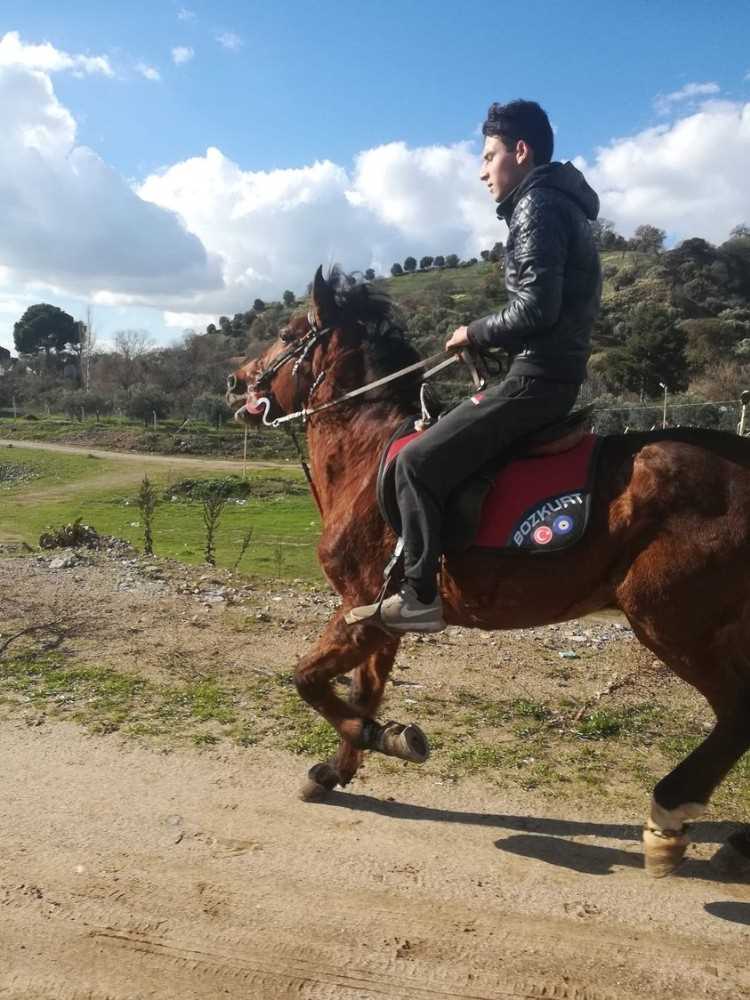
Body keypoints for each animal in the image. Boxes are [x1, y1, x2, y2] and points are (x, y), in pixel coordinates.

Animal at [229, 266, 750, 876]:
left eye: (287, 335)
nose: (236, 383)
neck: (367, 455)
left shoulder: (360, 608)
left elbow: (310, 680)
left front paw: (383, 737)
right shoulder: (381, 618)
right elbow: (363, 689)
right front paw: (339, 769)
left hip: (674, 622)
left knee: (737, 711)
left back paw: (670, 816)